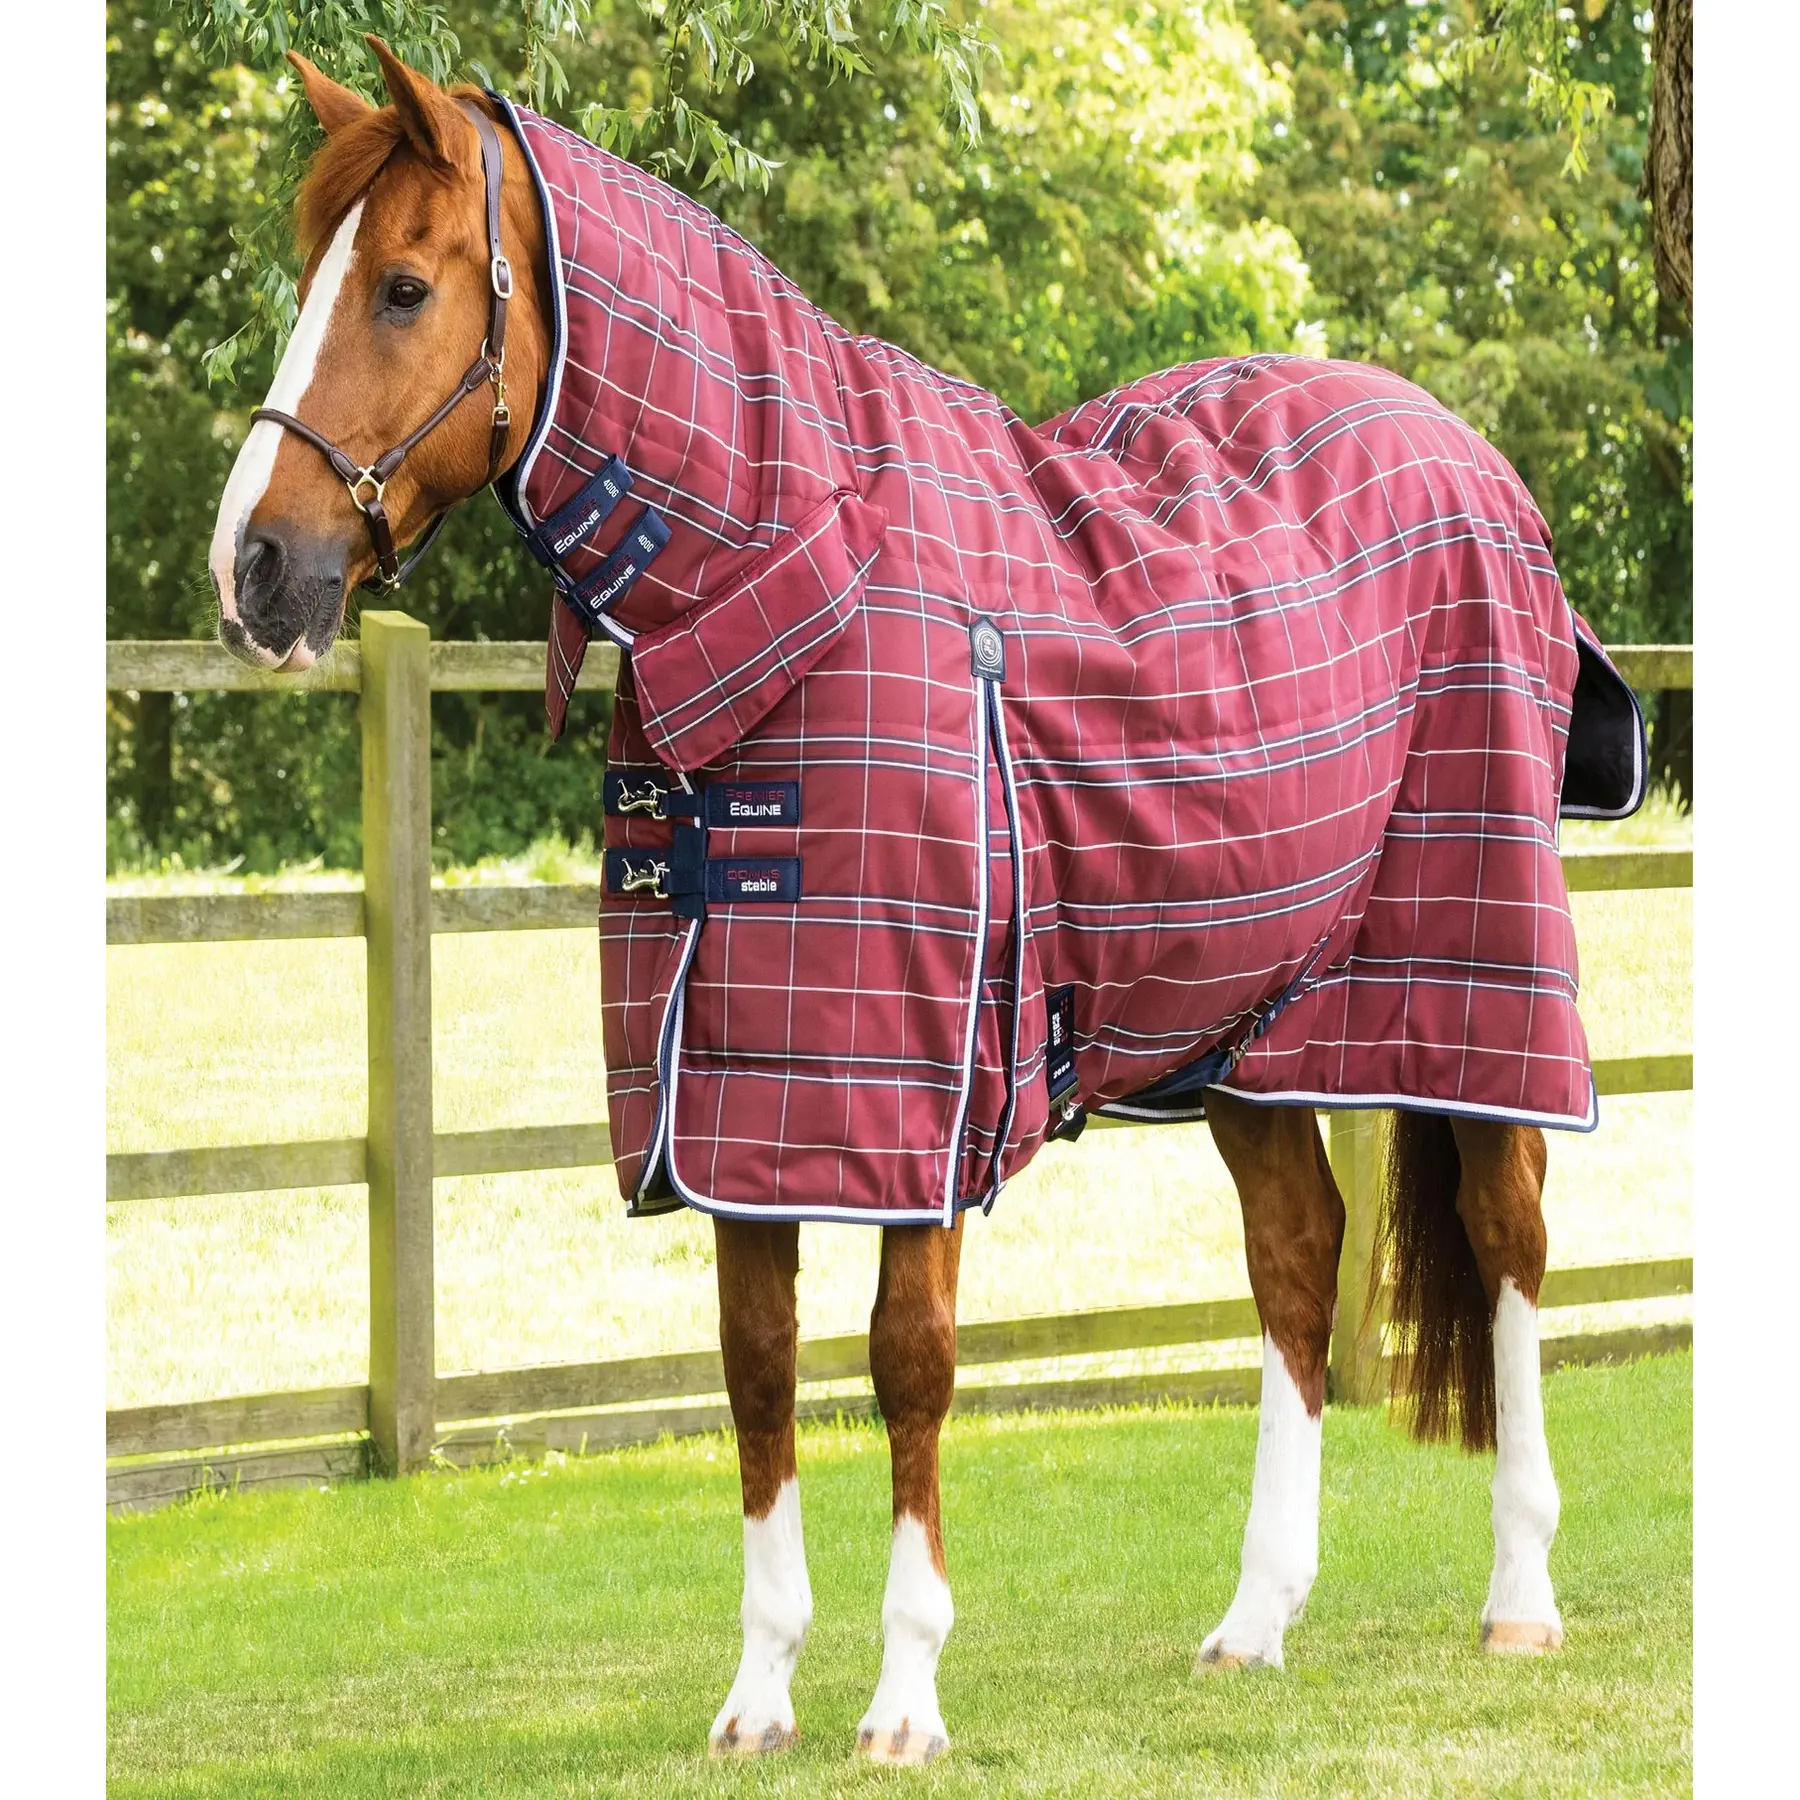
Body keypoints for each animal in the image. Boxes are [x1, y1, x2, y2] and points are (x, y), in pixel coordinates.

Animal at [209, 38, 1606, 1765]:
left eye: (404, 286)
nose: (255, 569)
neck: (796, 593)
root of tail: (1469, 457)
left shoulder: (921, 1093)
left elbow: (909, 1366)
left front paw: (904, 1697)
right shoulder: (733, 1097)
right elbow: (756, 1371)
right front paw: (758, 1698)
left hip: (1477, 972)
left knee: (1508, 1238)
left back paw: (1521, 1598)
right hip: (1250, 1022)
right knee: (1298, 1254)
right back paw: (1253, 1622)